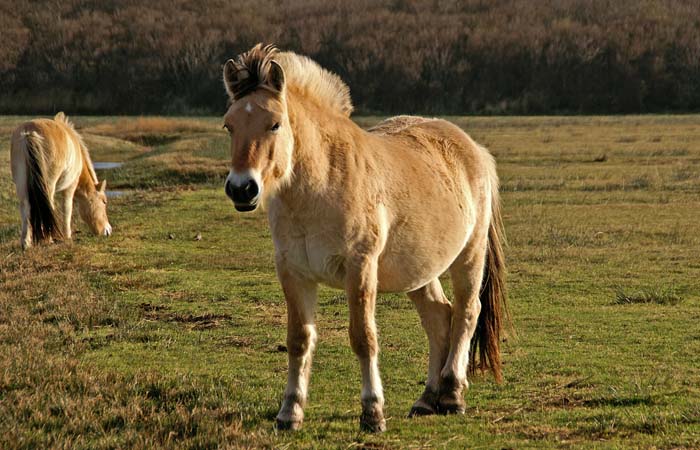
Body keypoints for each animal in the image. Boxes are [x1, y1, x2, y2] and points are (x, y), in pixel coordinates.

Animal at [10, 112, 112, 250]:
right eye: (104, 202)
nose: (108, 231)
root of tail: (29, 133)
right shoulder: (70, 187)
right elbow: (67, 208)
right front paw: (67, 236)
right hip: (48, 184)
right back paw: (48, 239)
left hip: (21, 184)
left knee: (25, 207)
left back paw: (26, 243)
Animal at [221, 44, 507, 432]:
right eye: (229, 125)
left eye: (275, 123)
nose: (241, 188)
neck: (320, 185)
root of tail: (473, 148)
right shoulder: (293, 273)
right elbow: (299, 339)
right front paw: (290, 412)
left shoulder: (360, 269)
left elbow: (363, 338)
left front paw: (372, 412)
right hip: (420, 270)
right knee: (439, 318)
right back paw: (427, 399)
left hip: (469, 256)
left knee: (466, 312)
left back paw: (451, 395)